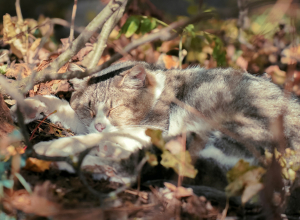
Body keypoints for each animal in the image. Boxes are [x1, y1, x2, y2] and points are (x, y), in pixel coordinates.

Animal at [10, 60, 300, 186]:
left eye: (115, 108)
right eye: (89, 109)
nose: (101, 124)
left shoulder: (154, 128)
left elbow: (92, 136)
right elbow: (64, 108)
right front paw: (30, 104)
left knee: (131, 167)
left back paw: (55, 153)